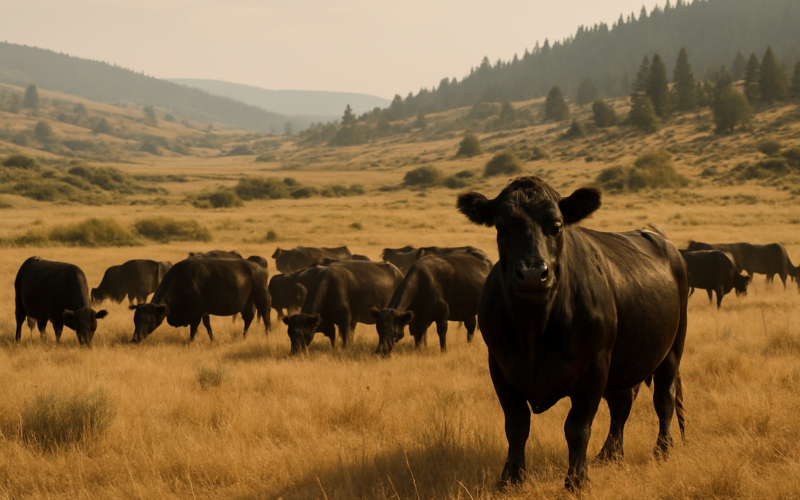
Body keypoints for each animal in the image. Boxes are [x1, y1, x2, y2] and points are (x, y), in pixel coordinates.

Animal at [129, 259, 270, 343]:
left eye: (147, 319)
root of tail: (260, 268)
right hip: (248, 301)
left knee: (266, 316)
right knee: (248, 317)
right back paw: (243, 336)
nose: (134, 339)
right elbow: (207, 324)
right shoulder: (204, 310)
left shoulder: (196, 312)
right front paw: (212, 339)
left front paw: (191, 341)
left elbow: (194, 328)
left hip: (262, 296)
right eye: (135, 320)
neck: (182, 280)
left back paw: (267, 334)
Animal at [456, 176, 688, 491]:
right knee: (622, 405)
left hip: (672, 350)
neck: (535, 328)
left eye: (556, 225)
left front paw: (576, 481)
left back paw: (662, 451)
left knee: (663, 399)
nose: (532, 274)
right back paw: (609, 455)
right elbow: (516, 425)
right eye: (502, 227)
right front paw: (510, 479)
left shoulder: (594, 368)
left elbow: (577, 428)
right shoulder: (500, 366)